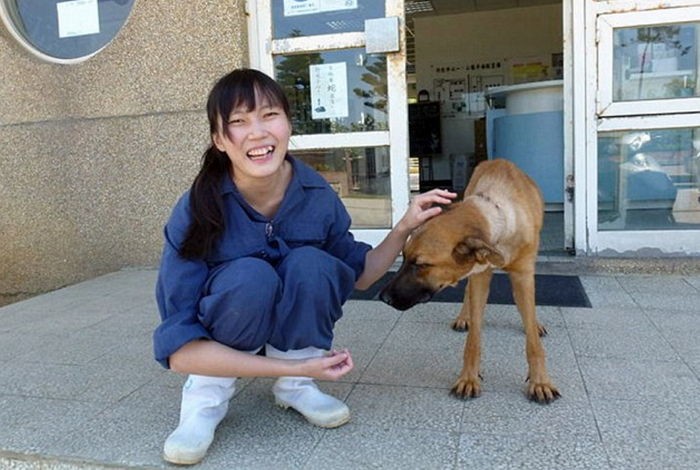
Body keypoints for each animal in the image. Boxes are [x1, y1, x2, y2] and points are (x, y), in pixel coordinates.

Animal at [380, 160, 560, 402]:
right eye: (404, 256)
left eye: (421, 265)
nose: (384, 298)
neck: (499, 218)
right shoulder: (479, 275)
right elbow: (474, 337)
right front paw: (468, 378)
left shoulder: (523, 274)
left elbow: (532, 338)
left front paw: (540, 381)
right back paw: (464, 318)